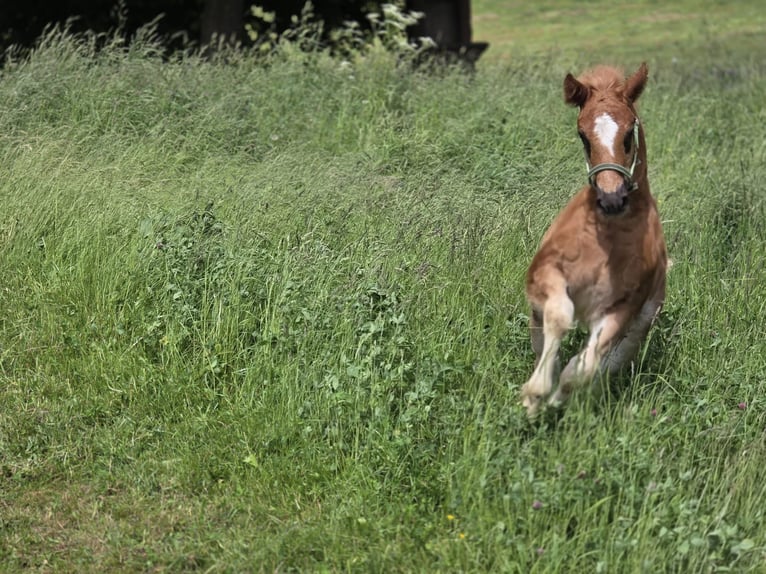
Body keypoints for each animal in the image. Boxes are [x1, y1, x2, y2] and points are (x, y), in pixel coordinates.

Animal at [520, 63, 667, 418]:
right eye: (582, 136)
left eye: (629, 133)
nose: (611, 198)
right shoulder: (546, 272)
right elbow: (559, 316)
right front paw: (535, 394)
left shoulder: (624, 307)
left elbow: (583, 368)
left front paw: (553, 398)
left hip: (644, 319)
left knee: (606, 363)